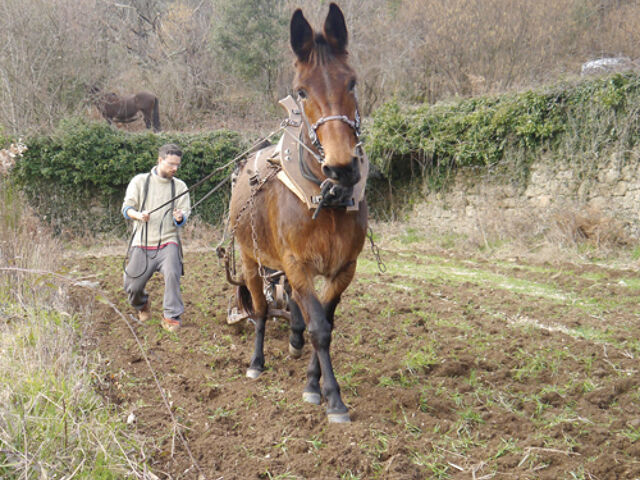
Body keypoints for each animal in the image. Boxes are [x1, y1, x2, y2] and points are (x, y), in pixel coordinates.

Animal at [229, 3, 368, 424]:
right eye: (302, 90)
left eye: (352, 82)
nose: (342, 168)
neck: (328, 199)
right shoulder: (297, 263)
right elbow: (318, 327)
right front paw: (333, 398)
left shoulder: (344, 267)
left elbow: (325, 319)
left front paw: (312, 382)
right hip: (250, 258)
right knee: (259, 310)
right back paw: (256, 362)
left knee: (292, 306)